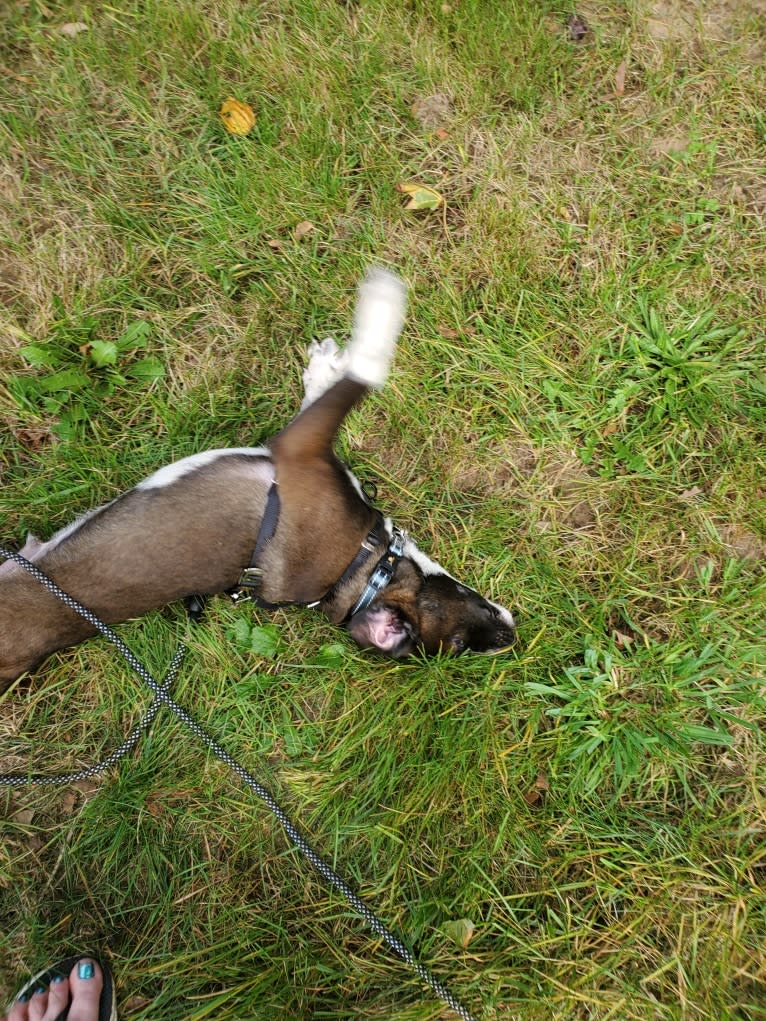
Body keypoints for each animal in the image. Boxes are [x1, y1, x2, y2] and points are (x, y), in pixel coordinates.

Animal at [1, 269, 516, 686]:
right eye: (462, 643)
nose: (509, 638)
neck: (360, 567)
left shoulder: (297, 449)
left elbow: (362, 373)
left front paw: (365, 320)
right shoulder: (301, 448)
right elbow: (356, 376)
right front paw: (357, 331)